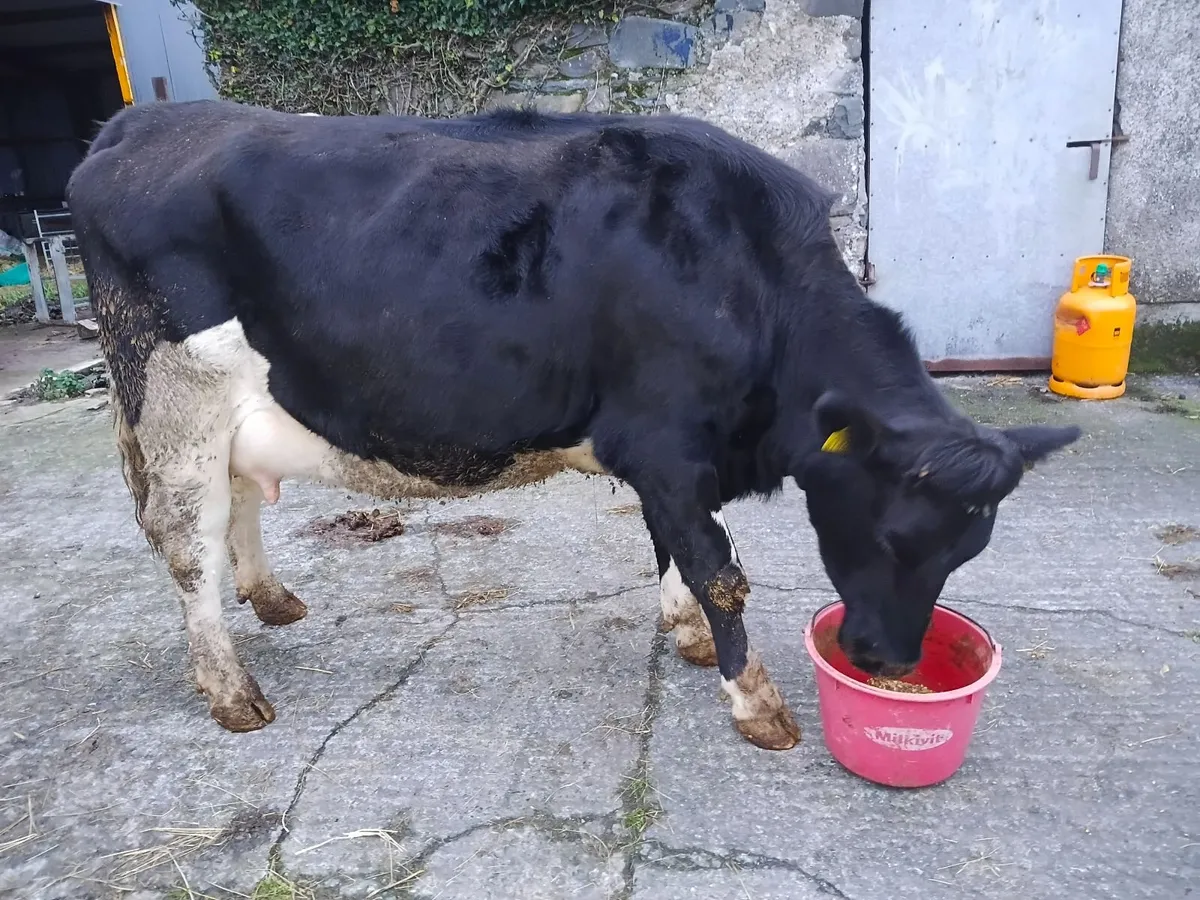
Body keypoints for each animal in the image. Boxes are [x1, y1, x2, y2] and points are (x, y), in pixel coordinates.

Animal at [66, 100, 1079, 750]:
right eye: (892, 534)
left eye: (968, 549)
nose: (887, 659)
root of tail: (136, 124)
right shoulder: (666, 442)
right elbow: (720, 568)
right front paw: (754, 700)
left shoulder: (671, 459)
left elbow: (676, 548)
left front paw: (689, 637)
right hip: (173, 391)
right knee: (186, 541)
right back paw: (232, 690)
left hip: (222, 408)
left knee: (237, 502)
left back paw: (270, 598)